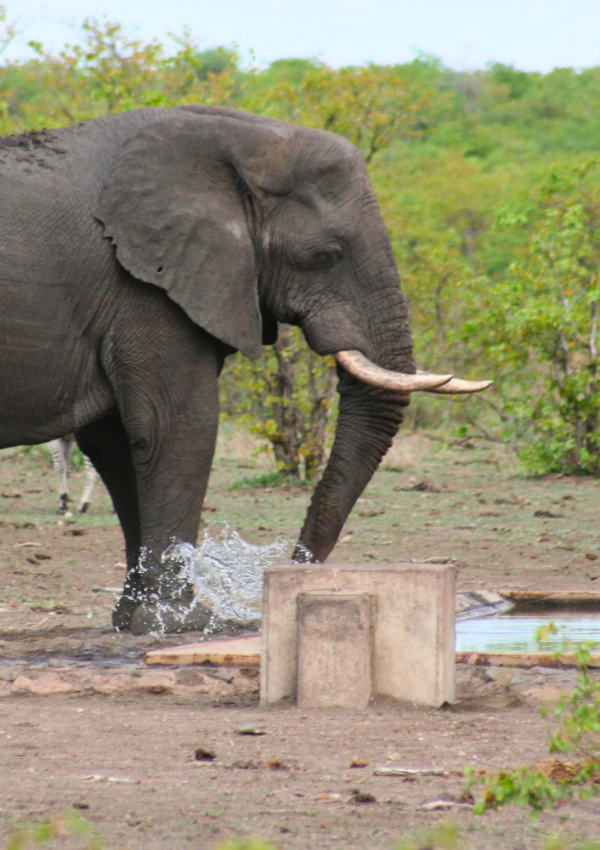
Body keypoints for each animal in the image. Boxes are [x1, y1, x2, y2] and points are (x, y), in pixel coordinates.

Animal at [0, 106, 490, 632]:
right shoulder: (144, 290)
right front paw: (183, 622)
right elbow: (174, 427)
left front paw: (134, 619)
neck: (237, 140)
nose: (287, 570)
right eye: (326, 256)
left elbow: (116, 446)